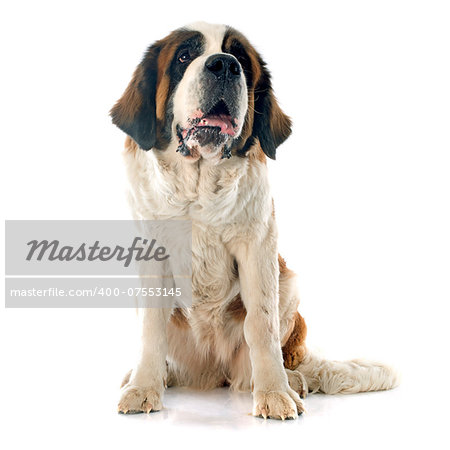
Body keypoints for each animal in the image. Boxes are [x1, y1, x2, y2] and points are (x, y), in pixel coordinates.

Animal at [110, 22, 400, 420]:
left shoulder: (259, 249)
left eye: (242, 62)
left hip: (288, 285)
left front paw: (275, 393)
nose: (224, 65)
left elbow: (261, 325)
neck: (199, 187)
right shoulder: (151, 254)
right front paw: (143, 387)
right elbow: (151, 328)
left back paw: (290, 381)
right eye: (184, 56)